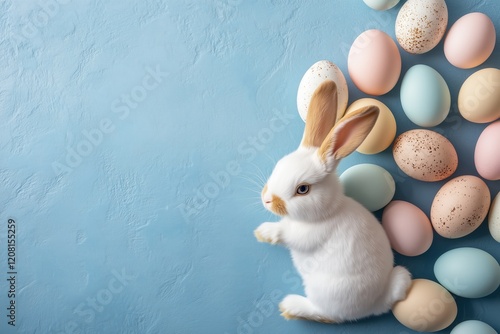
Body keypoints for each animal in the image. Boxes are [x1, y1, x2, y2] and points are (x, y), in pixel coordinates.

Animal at [254, 79, 410, 322]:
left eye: (303, 189)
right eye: (279, 165)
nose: (268, 200)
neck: (328, 211)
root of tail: (377, 303)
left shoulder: (308, 235)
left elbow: (286, 234)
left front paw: (262, 233)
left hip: (323, 292)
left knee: (327, 315)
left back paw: (290, 307)